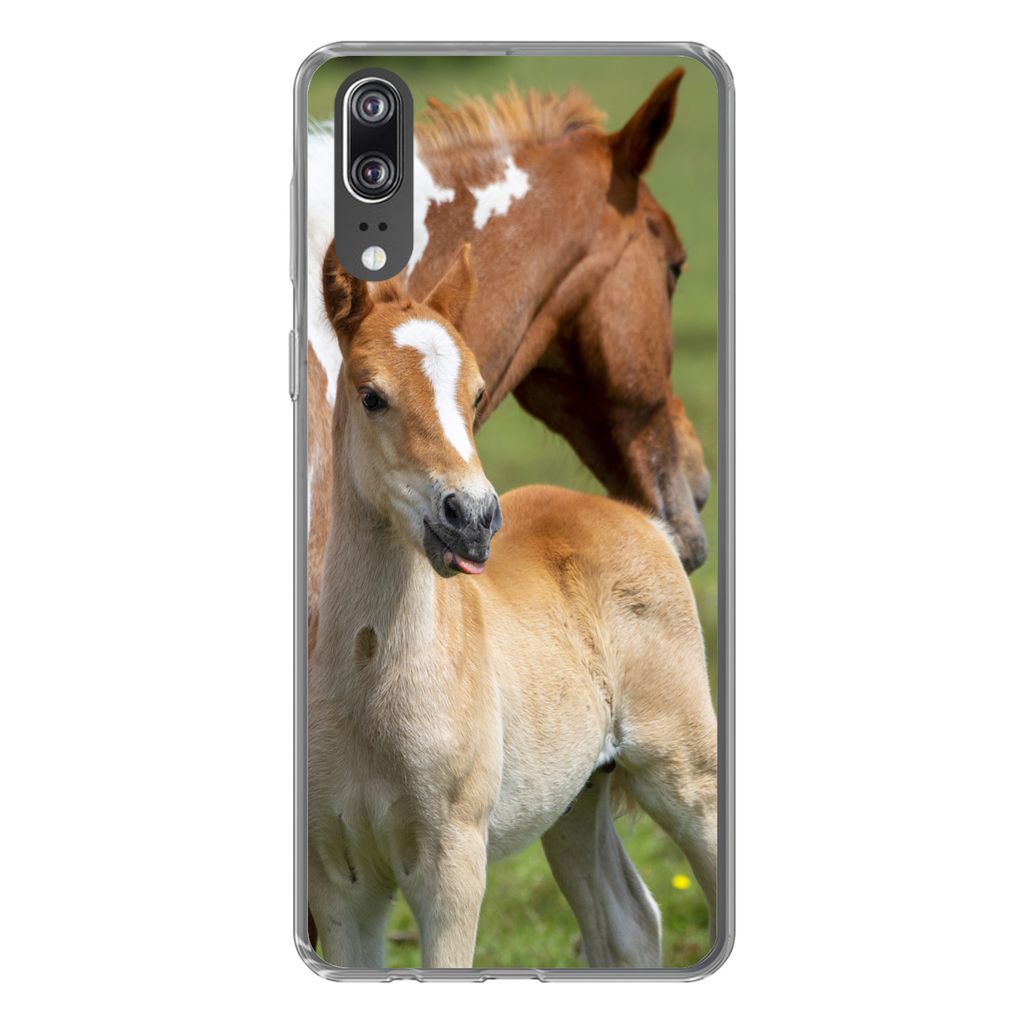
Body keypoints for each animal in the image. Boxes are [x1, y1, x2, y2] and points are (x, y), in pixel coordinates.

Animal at [307, 242, 717, 969]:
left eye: (476, 394)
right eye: (371, 395)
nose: (471, 518)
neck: (370, 676)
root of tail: (644, 520)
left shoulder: (453, 864)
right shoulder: (340, 881)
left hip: (687, 772)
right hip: (576, 796)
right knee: (629, 923)